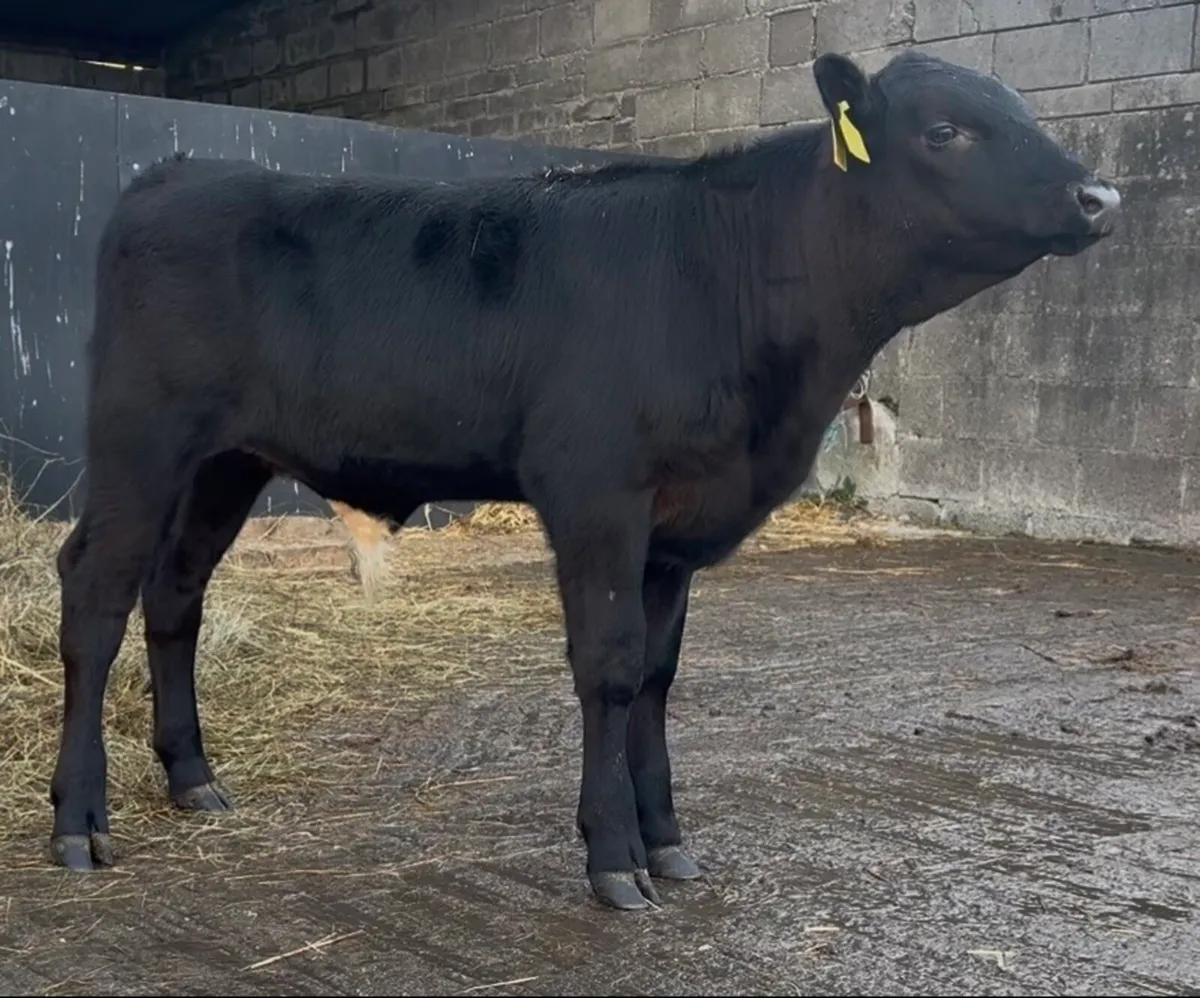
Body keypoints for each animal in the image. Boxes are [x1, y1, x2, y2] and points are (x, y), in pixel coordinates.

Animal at [47, 49, 1120, 912]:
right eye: (946, 130)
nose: (1101, 197)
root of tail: (180, 170)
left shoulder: (677, 527)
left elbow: (656, 674)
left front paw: (668, 843)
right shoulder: (598, 493)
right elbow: (607, 666)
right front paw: (613, 858)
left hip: (226, 460)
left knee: (174, 592)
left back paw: (192, 778)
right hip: (139, 436)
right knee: (95, 593)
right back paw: (78, 819)